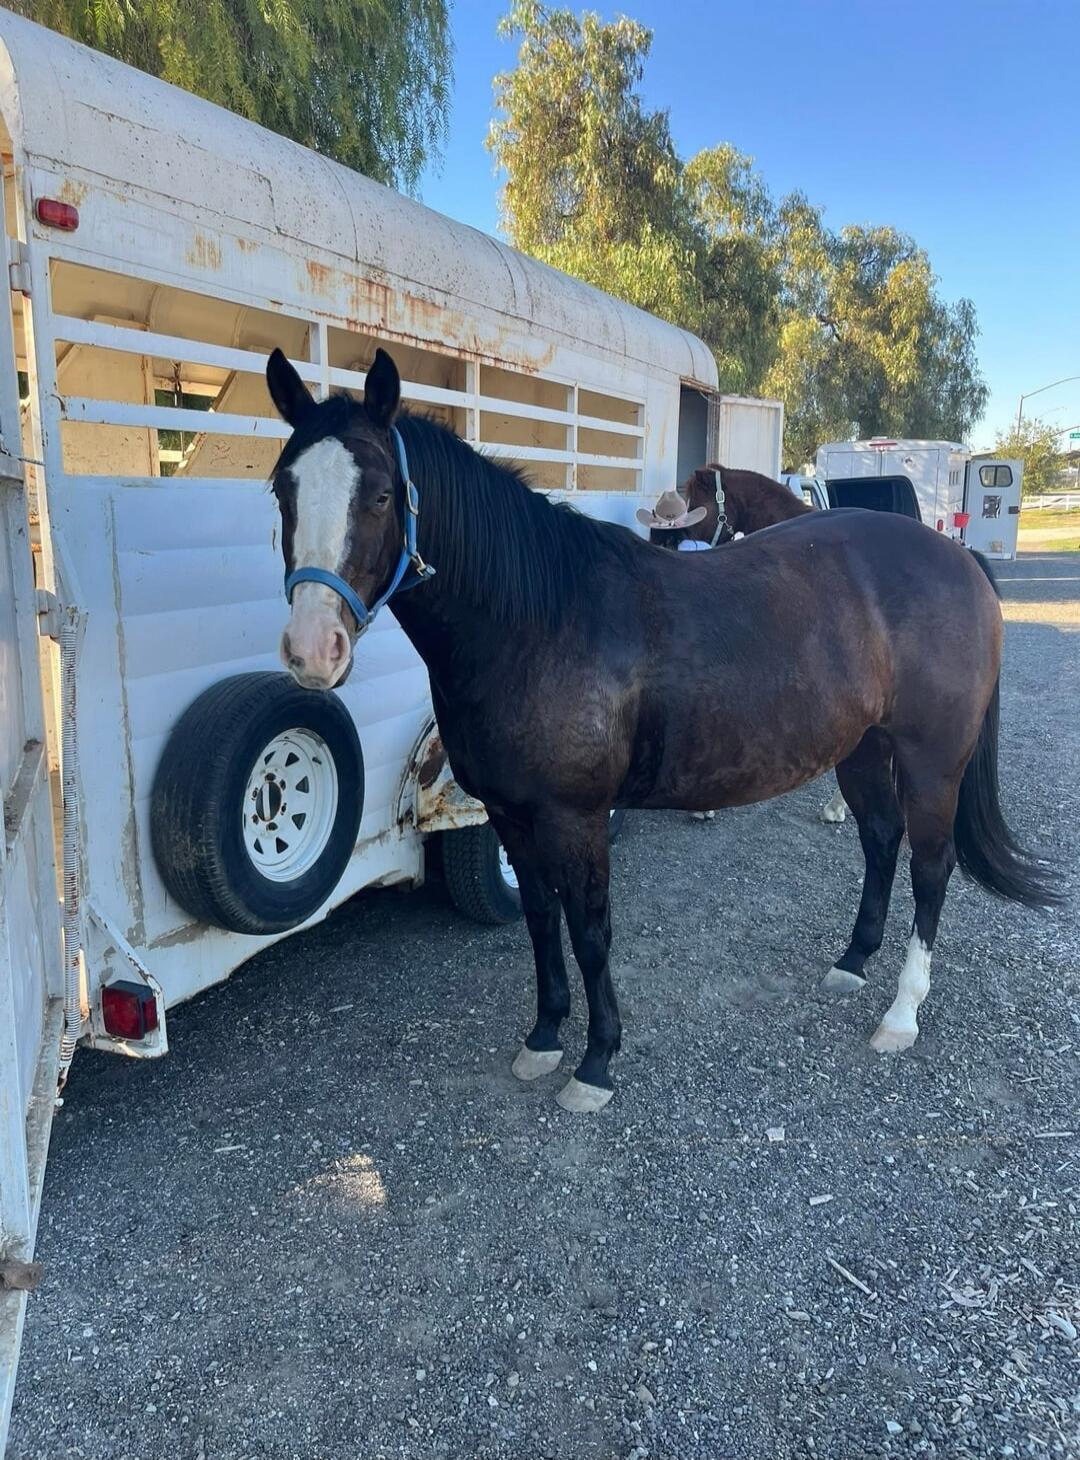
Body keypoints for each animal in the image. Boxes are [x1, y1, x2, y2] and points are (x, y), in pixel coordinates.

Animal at [264, 345, 1059, 1114]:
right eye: (282, 491)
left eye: (381, 494)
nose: (311, 650)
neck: (537, 619)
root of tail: (955, 557)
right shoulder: (510, 815)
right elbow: (541, 922)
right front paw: (544, 1037)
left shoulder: (577, 818)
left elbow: (590, 933)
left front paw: (595, 1063)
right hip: (862, 750)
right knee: (881, 841)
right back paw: (852, 963)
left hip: (931, 760)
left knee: (931, 865)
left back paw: (901, 1013)